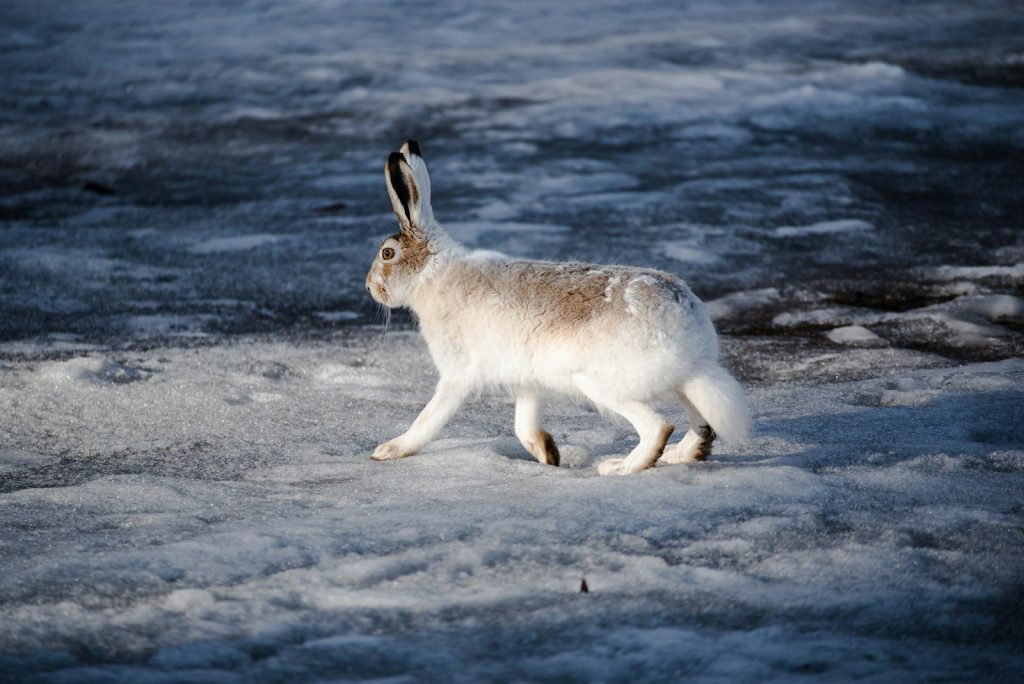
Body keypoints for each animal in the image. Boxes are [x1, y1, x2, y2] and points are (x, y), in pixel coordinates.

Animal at [365, 140, 750, 475]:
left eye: (387, 253)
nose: (370, 287)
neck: (431, 275)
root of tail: (692, 334)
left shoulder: (458, 372)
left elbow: (430, 417)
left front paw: (389, 449)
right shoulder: (525, 378)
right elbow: (523, 422)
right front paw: (548, 454)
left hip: (600, 383)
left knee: (658, 425)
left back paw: (621, 467)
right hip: (681, 384)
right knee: (703, 423)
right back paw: (679, 455)